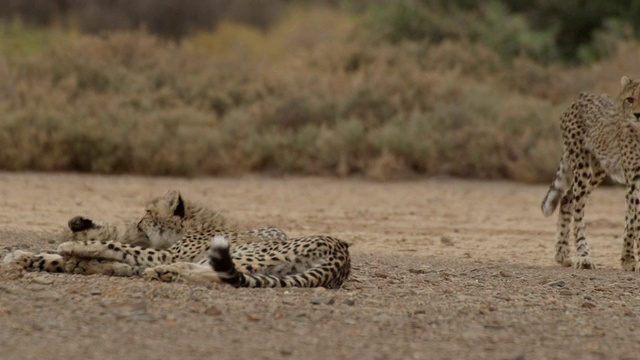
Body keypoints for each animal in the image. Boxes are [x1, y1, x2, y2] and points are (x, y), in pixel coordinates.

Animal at [5, 190, 352, 288]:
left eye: (147, 211)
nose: (137, 222)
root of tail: (341, 254)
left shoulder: (161, 253)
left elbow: (114, 245)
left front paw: (73, 247)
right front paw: (22, 257)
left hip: (246, 255)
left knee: (219, 274)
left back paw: (167, 273)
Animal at [544, 76, 640, 270]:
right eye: (630, 99)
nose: (637, 115)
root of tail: (581, 96)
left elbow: (631, 220)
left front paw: (627, 258)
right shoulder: (634, 179)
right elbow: (637, 219)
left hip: (597, 170)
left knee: (567, 199)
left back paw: (562, 252)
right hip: (582, 166)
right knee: (577, 208)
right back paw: (583, 255)